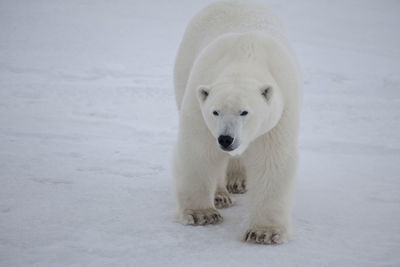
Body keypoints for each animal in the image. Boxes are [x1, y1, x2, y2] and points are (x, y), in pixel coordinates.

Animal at [172, 1, 300, 246]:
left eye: (244, 112)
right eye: (215, 111)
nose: (225, 139)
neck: (245, 57)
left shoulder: (279, 115)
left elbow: (271, 160)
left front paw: (264, 233)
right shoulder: (198, 103)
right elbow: (199, 151)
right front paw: (202, 214)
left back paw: (237, 181)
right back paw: (221, 195)